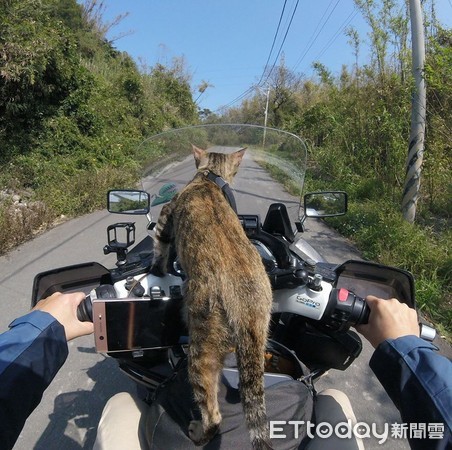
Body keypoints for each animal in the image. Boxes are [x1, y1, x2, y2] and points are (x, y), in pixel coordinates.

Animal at [152, 146, 272, 448]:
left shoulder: (165, 216)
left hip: (200, 348)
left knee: (212, 411)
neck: (209, 177)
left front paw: (157, 268)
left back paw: (198, 432)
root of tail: (248, 308)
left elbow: (159, 248)